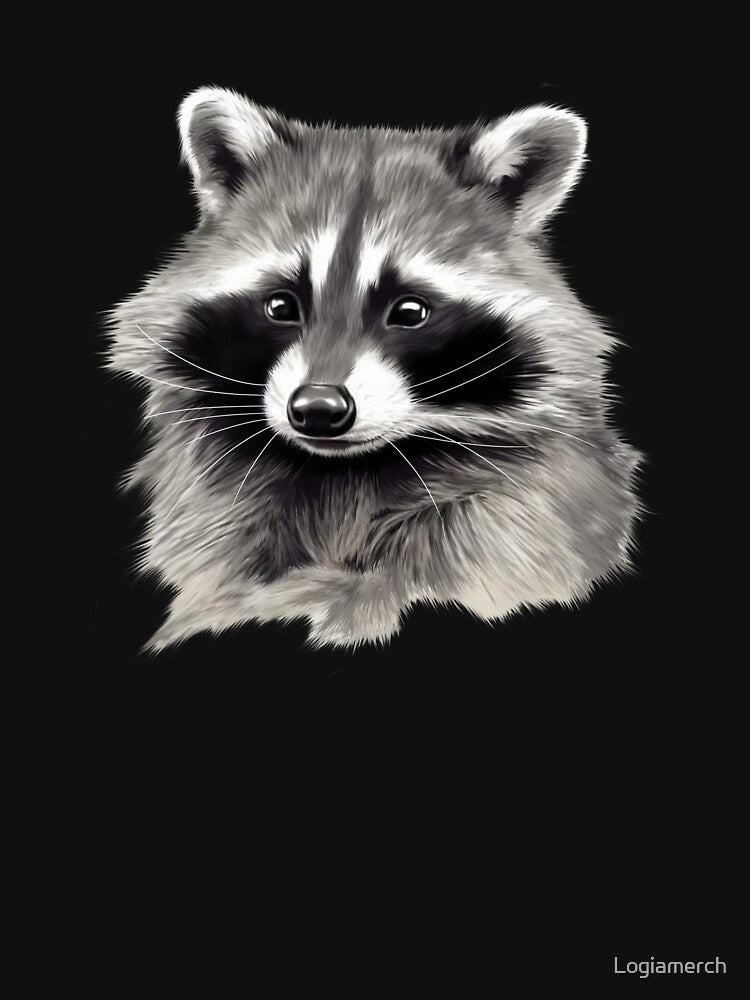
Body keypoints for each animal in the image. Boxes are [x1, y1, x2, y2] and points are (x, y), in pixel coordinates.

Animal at [108, 87, 640, 651]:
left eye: (409, 312)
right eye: (281, 306)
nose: (319, 409)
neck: (343, 474)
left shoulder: (521, 518)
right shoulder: (214, 510)